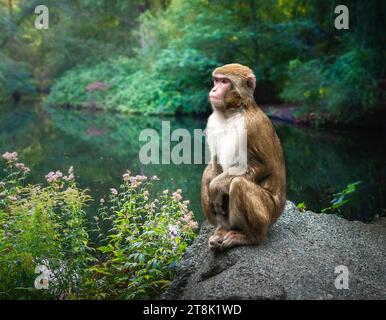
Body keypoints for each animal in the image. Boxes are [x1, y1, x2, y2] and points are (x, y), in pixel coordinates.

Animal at [202, 63, 286, 251]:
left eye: (225, 82)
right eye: (216, 80)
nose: (214, 89)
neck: (233, 112)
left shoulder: (252, 126)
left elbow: (264, 166)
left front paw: (215, 187)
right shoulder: (212, 121)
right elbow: (215, 163)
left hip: (269, 213)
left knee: (238, 183)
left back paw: (251, 237)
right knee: (208, 173)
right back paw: (222, 229)